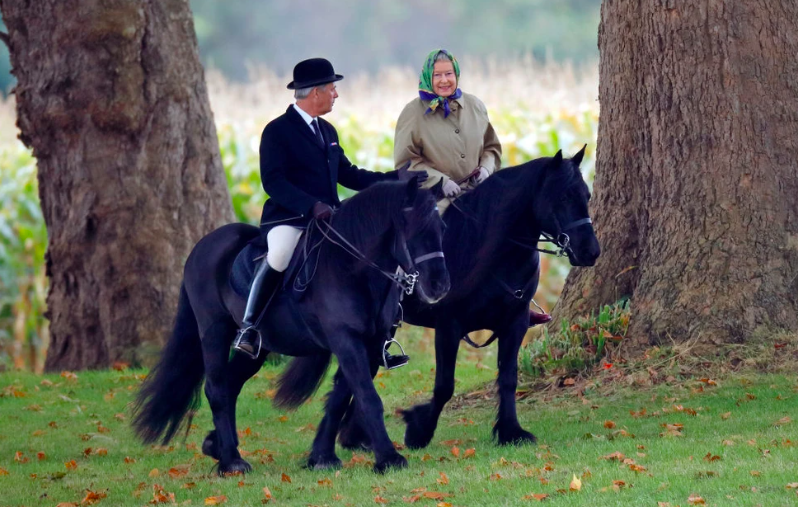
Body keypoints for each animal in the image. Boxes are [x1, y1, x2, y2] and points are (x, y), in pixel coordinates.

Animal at [134, 177, 454, 474]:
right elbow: (367, 396)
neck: (352, 268)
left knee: (230, 384)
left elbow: (340, 398)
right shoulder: (345, 339)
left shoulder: (371, 343)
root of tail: (202, 246)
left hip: (259, 347)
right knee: (215, 387)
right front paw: (388, 459)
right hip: (214, 330)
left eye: (442, 229)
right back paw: (232, 462)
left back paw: (218, 446)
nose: (439, 287)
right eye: (413, 230)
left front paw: (322, 457)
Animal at [282, 147, 600, 456]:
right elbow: (445, 385)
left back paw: (355, 437)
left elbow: (509, 378)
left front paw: (511, 431)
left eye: (587, 195)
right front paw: (419, 430)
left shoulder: (515, 321)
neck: (489, 250)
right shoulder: (449, 326)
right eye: (563, 197)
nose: (590, 251)